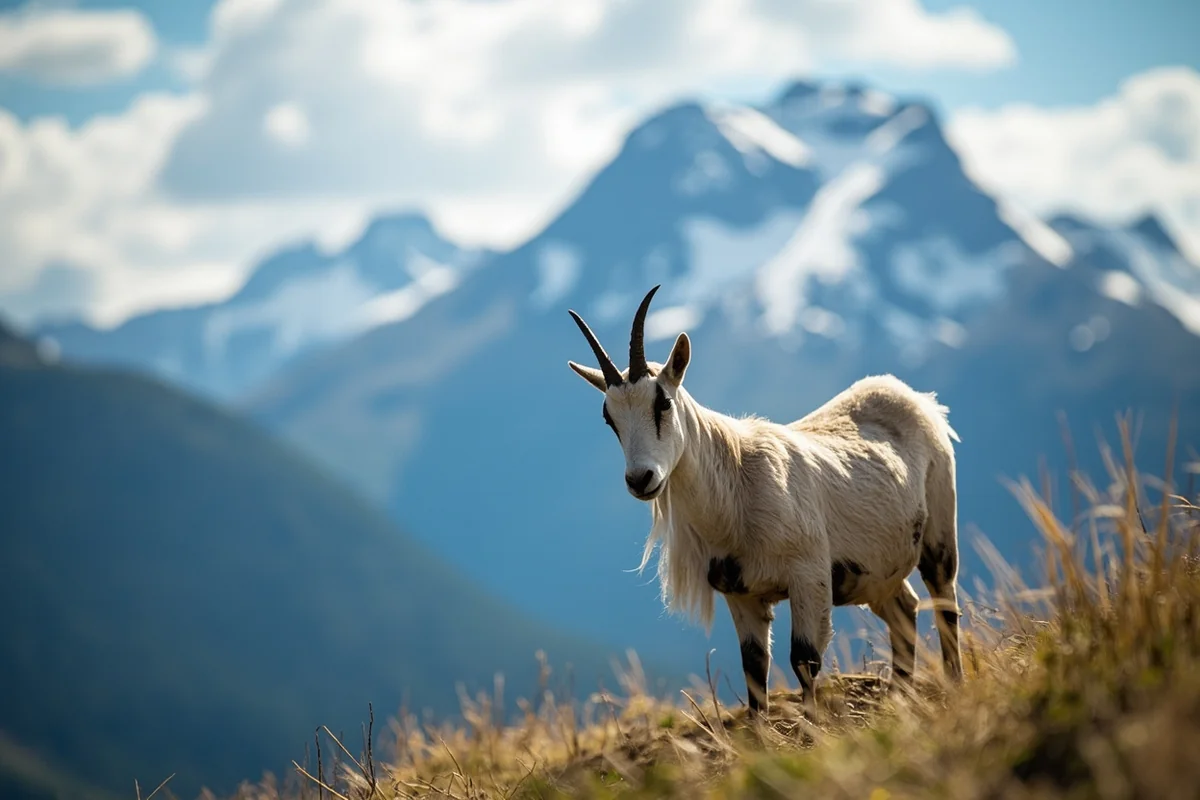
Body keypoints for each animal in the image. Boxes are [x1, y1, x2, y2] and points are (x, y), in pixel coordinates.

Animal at [566, 285, 963, 714]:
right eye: (609, 418)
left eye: (663, 402)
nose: (641, 479)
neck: (737, 485)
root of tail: (917, 400)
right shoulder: (743, 595)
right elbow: (755, 672)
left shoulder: (809, 576)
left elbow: (804, 660)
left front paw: (813, 728)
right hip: (874, 573)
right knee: (905, 608)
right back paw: (900, 698)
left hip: (939, 529)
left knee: (944, 599)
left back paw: (956, 683)